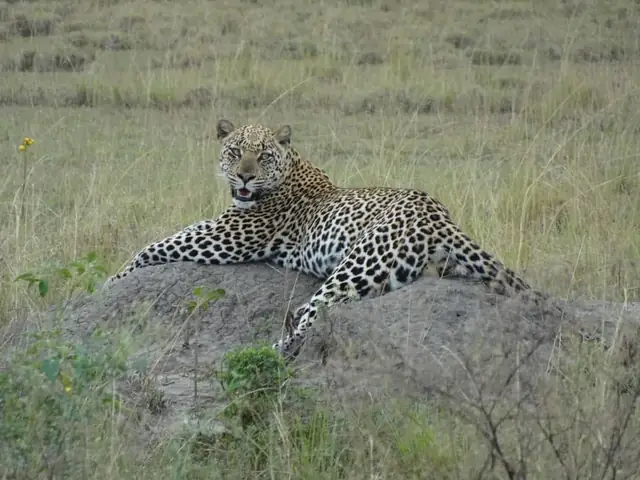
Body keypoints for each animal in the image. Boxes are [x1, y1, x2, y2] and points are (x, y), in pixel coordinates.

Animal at [104, 118, 546, 359]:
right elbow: (165, 237)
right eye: (234, 151)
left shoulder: (226, 237)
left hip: (358, 266)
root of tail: (441, 216)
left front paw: (110, 281)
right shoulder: (222, 228)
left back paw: (269, 352)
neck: (291, 168)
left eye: (262, 155)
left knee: (313, 313)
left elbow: (155, 245)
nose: (244, 176)